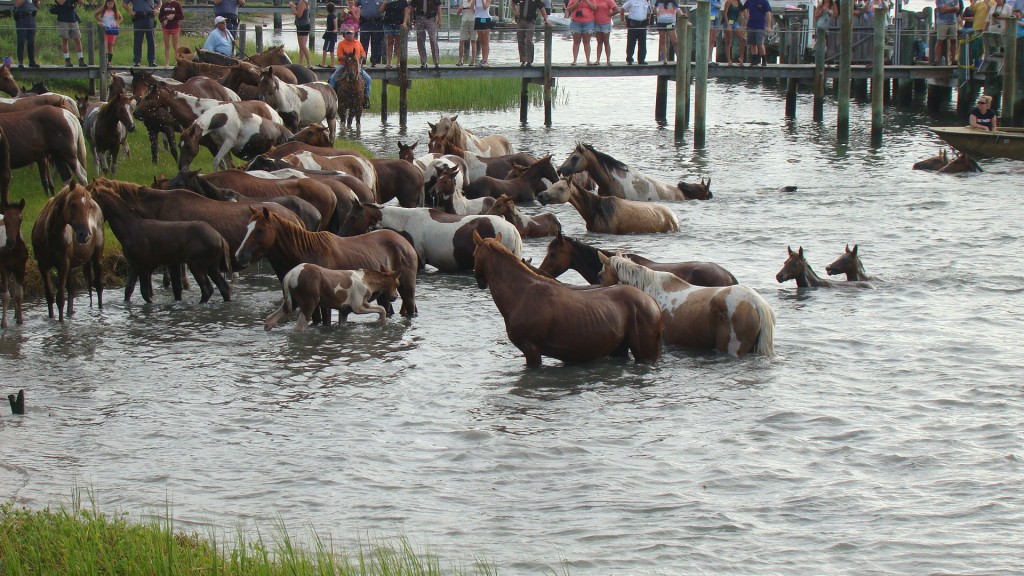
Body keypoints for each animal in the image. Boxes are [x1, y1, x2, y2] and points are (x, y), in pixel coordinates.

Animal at [31, 182, 105, 321]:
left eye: (89, 206)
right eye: (73, 204)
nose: (84, 235)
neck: (50, 235)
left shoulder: (63, 264)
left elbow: (60, 299)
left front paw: (61, 323)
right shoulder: (42, 266)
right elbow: (49, 296)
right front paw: (52, 318)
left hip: (97, 256)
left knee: (98, 285)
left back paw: (100, 310)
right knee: (71, 289)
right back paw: (70, 313)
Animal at [90, 183, 232, 303]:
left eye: (91, 201)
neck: (130, 228)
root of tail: (220, 237)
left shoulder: (144, 265)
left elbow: (145, 292)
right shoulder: (133, 264)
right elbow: (128, 290)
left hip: (196, 264)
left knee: (207, 289)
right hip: (212, 266)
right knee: (224, 288)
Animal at [235, 207, 419, 317]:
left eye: (260, 230)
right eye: (247, 228)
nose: (239, 255)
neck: (306, 254)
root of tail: (405, 242)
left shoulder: (326, 304)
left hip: (406, 288)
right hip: (384, 294)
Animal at [264, 265, 400, 331]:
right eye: (397, 284)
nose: (395, 297)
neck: (367, 281)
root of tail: (290, 274)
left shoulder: (344, 310)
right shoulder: (359, 307)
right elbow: (382, 309)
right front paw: (383, 325)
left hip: (293, 302)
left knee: (270, 319)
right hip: (309, 305)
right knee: (300, 327)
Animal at [472, 231, 662, 367]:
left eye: (474, 253)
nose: (479, 280)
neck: (523, 292)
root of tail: (652, 302)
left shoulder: (531, 351)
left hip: (644, 353)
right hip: (620, 348)